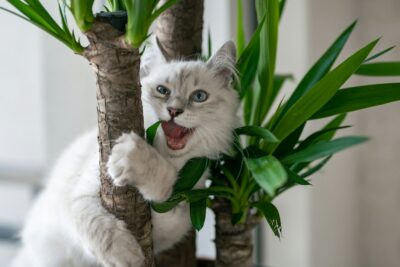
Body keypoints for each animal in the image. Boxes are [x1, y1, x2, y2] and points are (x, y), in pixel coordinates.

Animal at [11, 41, 238, 267]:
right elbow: (96, 225)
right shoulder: (79, 194)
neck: (168, 157)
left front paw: (134, 158)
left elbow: (163, 183)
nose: (174, 111)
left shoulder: (177, 213)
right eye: (162, 90)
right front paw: (127, 256)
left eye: (199, 96)